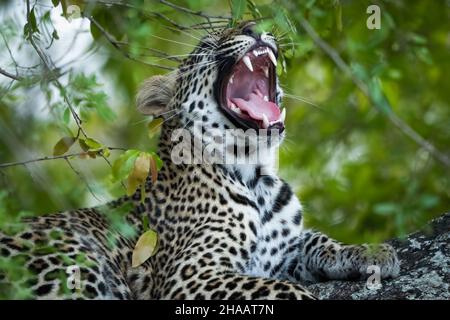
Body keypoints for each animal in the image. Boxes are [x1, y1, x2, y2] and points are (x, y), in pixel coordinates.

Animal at [0, 21, 400, 298]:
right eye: (208, 44)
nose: (254, 27)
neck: (257, 176)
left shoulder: (284, 252)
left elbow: (317, 240)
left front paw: (372, 252)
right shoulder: (192, 273)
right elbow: (281, 290)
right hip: (74, 262)